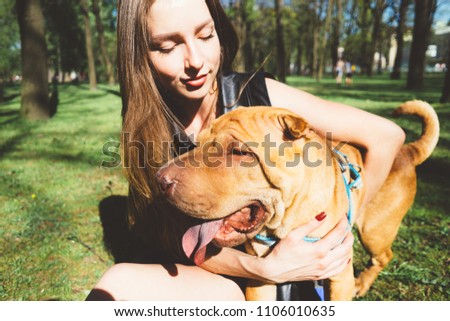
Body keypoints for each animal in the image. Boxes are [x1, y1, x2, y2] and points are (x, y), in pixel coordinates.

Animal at [156, 100, 440, 300]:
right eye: (197, 145)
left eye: (240, 152)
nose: (161, 179)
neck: (287, 222)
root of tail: (408, 151)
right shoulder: (261, 279)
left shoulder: (339, 276)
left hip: (374, 231)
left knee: (383, 256)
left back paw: (362, 283)